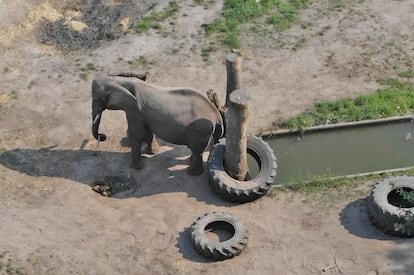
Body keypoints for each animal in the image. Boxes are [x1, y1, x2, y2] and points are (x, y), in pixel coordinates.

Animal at [92, 73, 225, 176]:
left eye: (97, 99)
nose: (102, 136)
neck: (118, 80)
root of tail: (216, 114)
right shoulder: (140, 112)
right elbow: (147, 132)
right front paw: (151, 153)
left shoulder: (134, 108)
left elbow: (136, 133)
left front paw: (136, 167)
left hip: (200, 129)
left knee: (197, 150)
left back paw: (191, 173)